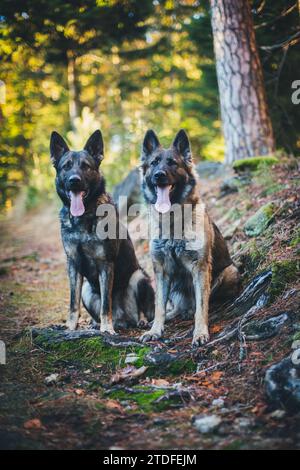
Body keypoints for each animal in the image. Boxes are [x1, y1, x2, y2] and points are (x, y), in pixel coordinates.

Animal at [50, 130, 154, 332]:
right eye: (66, 166)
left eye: (85, 166)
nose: (74, 181)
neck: (83, 218)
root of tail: (123, 318)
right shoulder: (73, 264)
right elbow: (73, 303)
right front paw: (70, 327)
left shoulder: (105, 264)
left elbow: (106, 303)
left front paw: (107, 329)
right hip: (86, 290)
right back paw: (96, 324)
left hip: (139, 277)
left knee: (142, 311)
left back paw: (139, 321)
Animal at [139, 129, 240, 346]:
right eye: (154, 163)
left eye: (172, 163)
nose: (159, 175)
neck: (172, 222)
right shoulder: (161, 270)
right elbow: (159, 305)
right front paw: (155, 330)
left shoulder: (200, 268)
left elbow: (201, 306)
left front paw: (200, 332)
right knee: (175, 307)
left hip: (229, 272)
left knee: (203, 303)